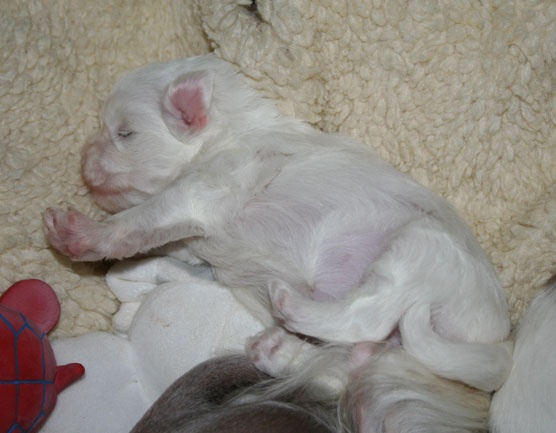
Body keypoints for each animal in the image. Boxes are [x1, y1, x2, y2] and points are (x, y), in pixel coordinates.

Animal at [43, 54, 512, 432]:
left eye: (125, 133)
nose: (83, 162)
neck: (228, 133)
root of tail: (494, 342)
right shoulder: (196, 241)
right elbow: (168, 252)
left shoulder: (204, 188)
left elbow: (138, 219)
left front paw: (77, 233)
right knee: (352, 363)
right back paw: (277, 349)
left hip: (420, 250)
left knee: (370, 316)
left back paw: (290, 307)